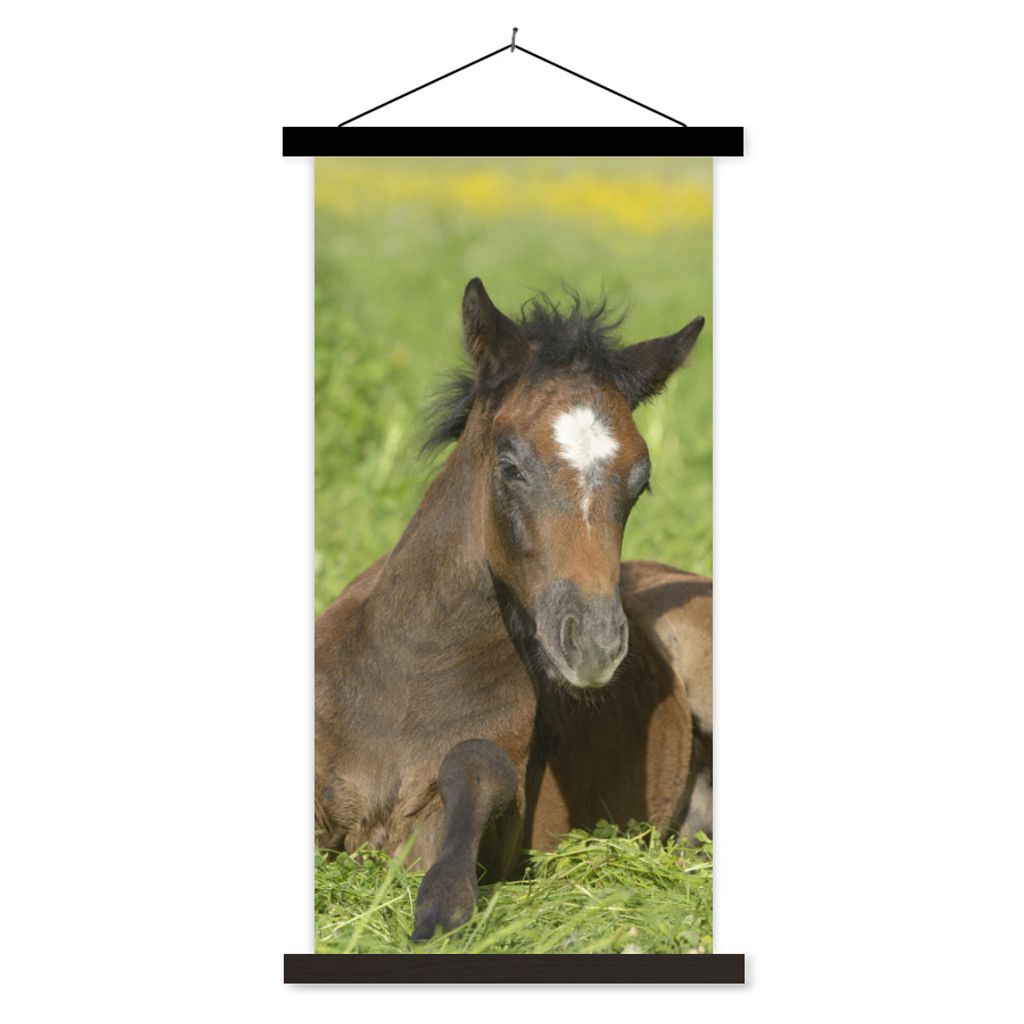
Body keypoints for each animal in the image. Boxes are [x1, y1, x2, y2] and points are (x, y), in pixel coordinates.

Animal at [315, 278, 712, 941]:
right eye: (510, 466)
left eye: (640, 483)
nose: (594, 645)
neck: (411, 673)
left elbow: (478, 763)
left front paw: (443, 907)